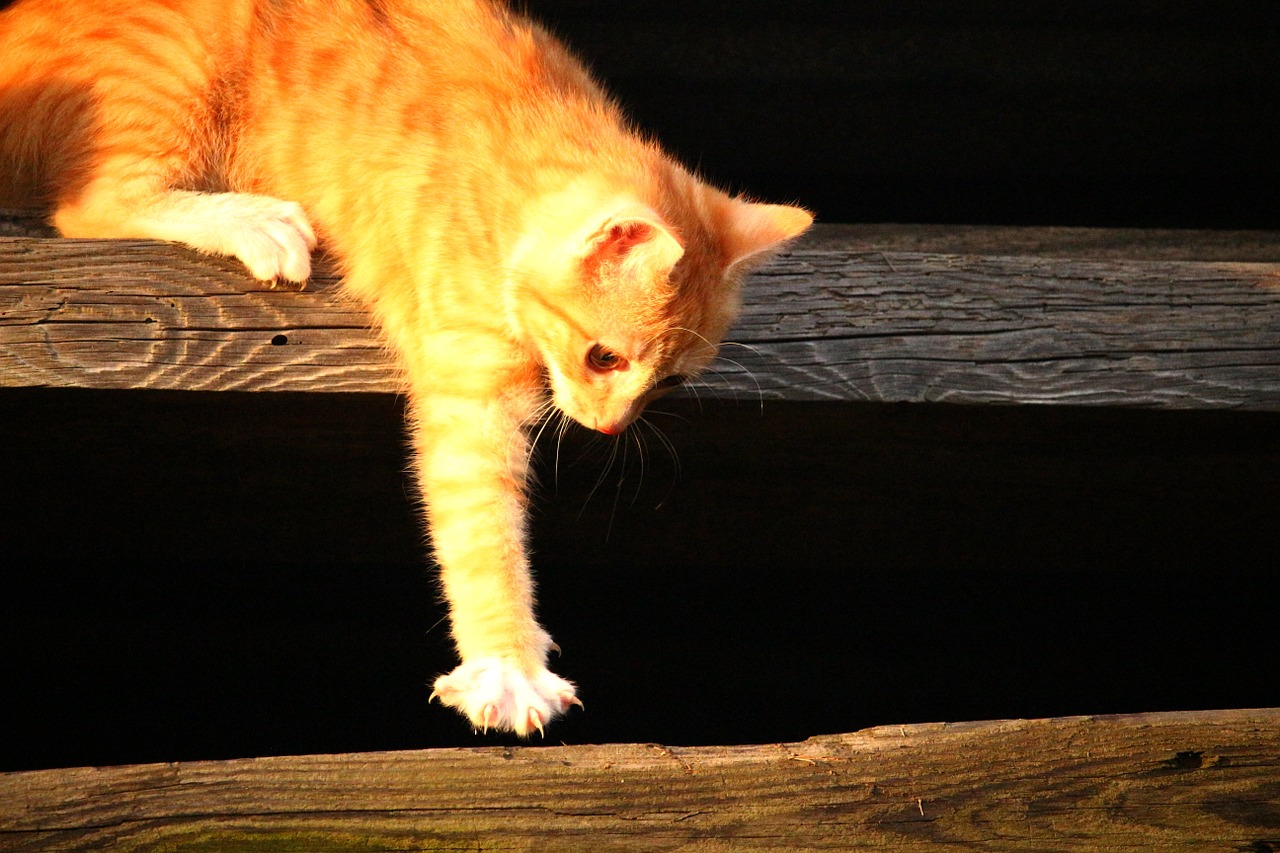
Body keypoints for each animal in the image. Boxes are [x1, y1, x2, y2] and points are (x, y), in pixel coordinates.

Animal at [2, 0, 808, 732]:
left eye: (670, 382)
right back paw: (252, 219)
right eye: (604, 357)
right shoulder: (468, 390)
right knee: (89, 205)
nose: (608, 428)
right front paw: (507, 664)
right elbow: (482, 527)